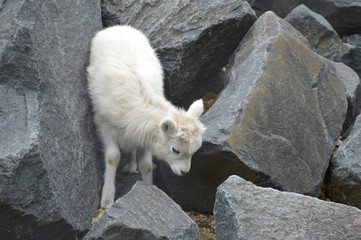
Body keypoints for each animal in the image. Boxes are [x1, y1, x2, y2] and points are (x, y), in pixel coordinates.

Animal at [87, 25, 205, 209]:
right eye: (175, 149)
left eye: (195, 150)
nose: (183, 172)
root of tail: (119, 27)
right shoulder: (104, 125)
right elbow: (113, 158)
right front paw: (107, 200)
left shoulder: (145, 136)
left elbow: (147, 166)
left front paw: (149, 189)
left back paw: (131, 164)